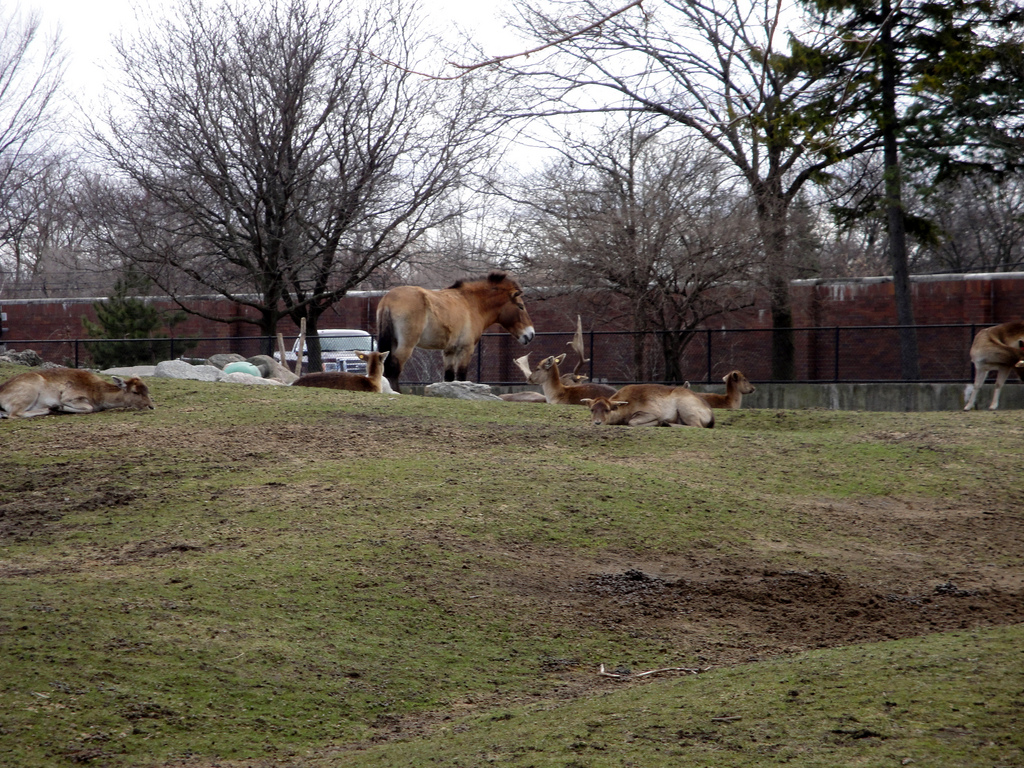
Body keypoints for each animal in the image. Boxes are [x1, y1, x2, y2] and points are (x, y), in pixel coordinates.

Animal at [0, 368, 155, 418]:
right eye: (135, 392)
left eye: (147, 389)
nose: (151, 406)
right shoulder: (69, 396)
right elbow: (89, 407)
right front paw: (59, 407)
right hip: (29, 392)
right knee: (14, 413)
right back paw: (50, 409)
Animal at [376, 272, 535, 392]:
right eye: (520, 306)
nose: (531, 334)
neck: (471, 303)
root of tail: (388, 300)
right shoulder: (466, 349)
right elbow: (461, 376)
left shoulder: (449, 351)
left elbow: (449, 378)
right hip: (406, 345)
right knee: (394, 367)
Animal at [582, 384, 715, 428]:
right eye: (591, 409)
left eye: (607, 410)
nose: (597, 422)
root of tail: (710, 414)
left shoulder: (652, 412)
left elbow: (632, 422)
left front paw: (657, 422)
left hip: (686, 407)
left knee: (697, 426)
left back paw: (665, 423)